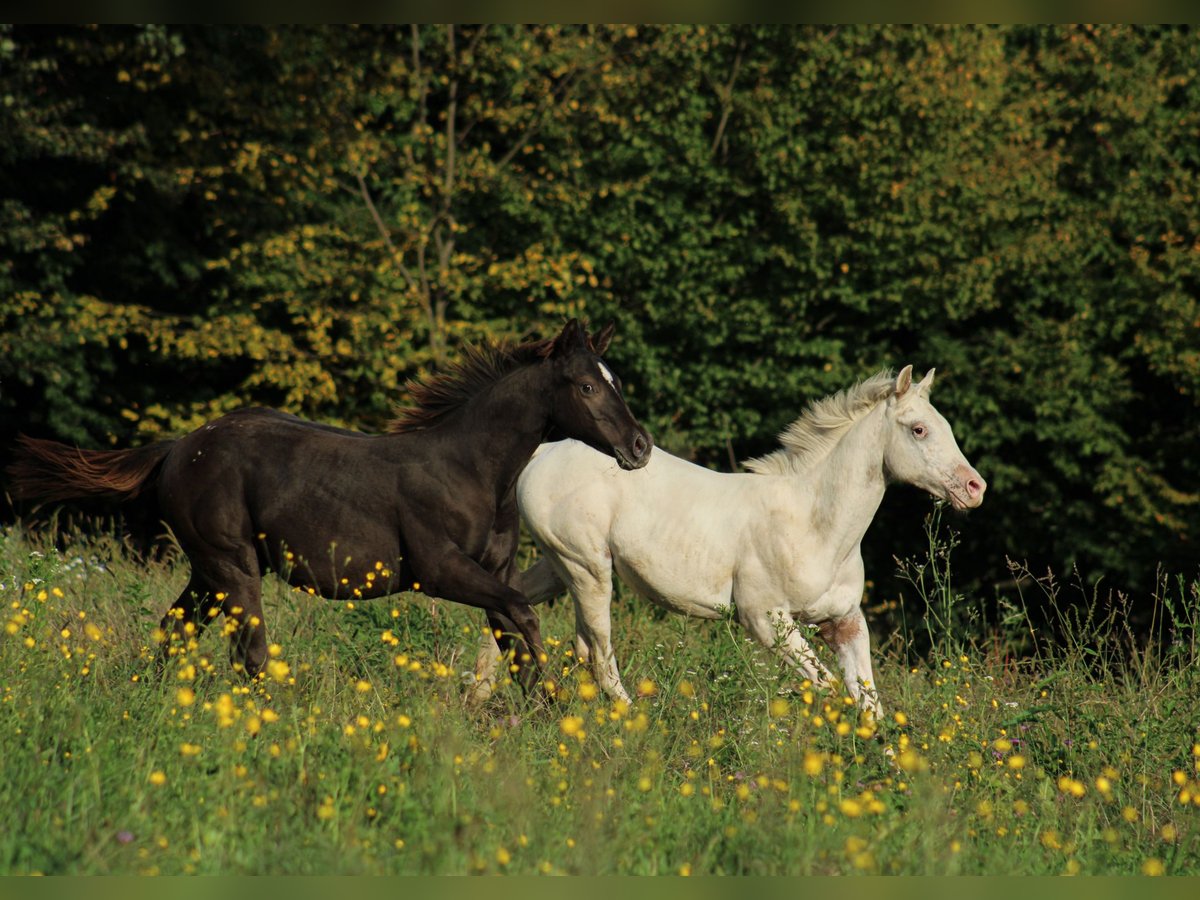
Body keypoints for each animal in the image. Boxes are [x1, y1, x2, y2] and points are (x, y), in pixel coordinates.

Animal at [9, 319, 652, 691]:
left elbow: (510, 635)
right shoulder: (441, 571)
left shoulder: (492, 569)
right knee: (250, 653)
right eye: (587, 386)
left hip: (209, 572)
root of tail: (177, 449)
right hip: (232, 566)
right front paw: (560, 698)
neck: (471, 469)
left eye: (615, 381)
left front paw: (549, 717)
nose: (639, 447)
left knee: (176, 630)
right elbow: (523, 618)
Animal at [468, 367, 984, 720]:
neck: (815, 524)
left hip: (560, 567)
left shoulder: (844, 622)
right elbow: (828, 690)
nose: (975, 487)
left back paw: (477, 696)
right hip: (587, 568)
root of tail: (541, 452)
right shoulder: (766, 621)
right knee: (597, 651)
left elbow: (869, 705)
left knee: (514, 608)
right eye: (918, 429)